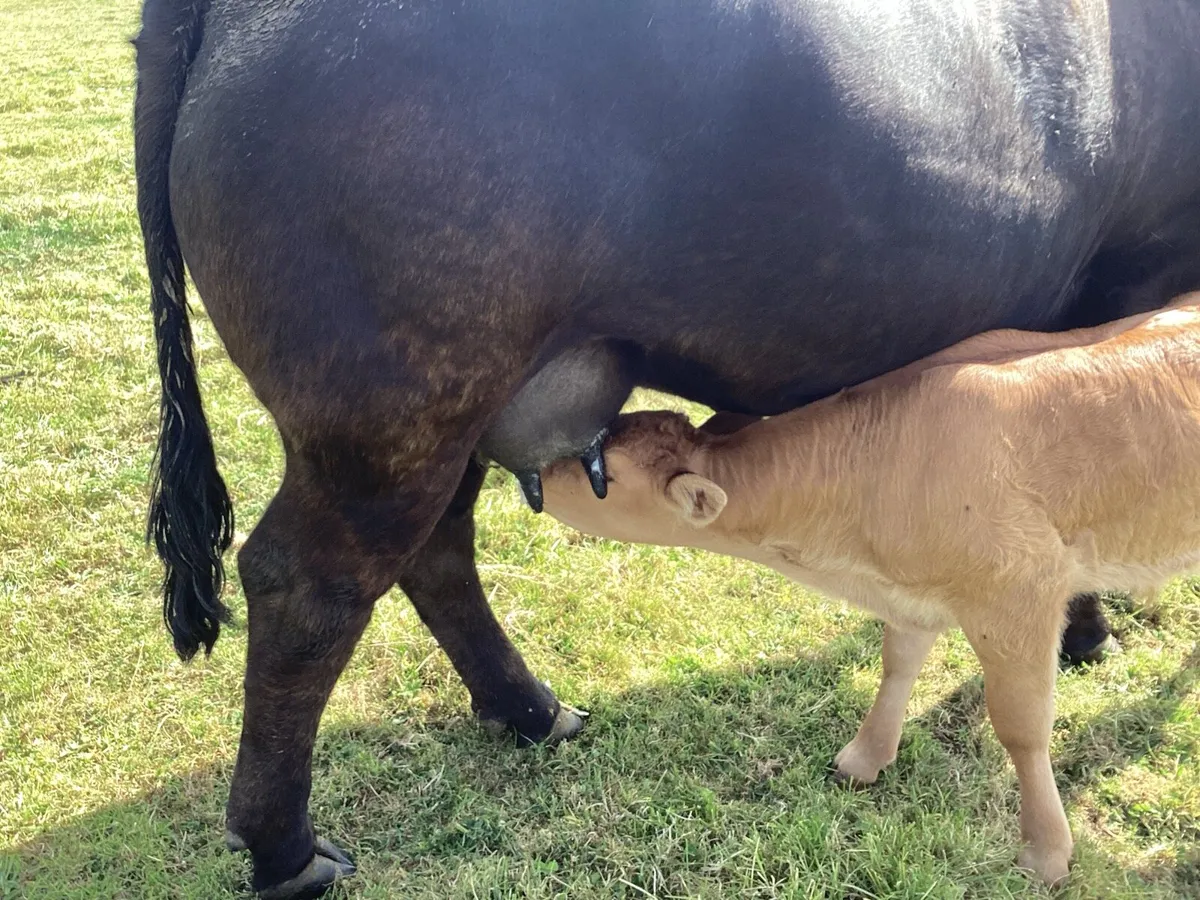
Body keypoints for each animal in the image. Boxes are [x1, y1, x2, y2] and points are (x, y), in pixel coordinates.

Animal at [132, 0, 1200, 895]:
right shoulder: (1128, 278)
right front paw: (1085, 627)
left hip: (444, 414)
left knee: (435, 553)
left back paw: (529, 710)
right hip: (387, 416)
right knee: (308, 587)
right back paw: (285, 848)